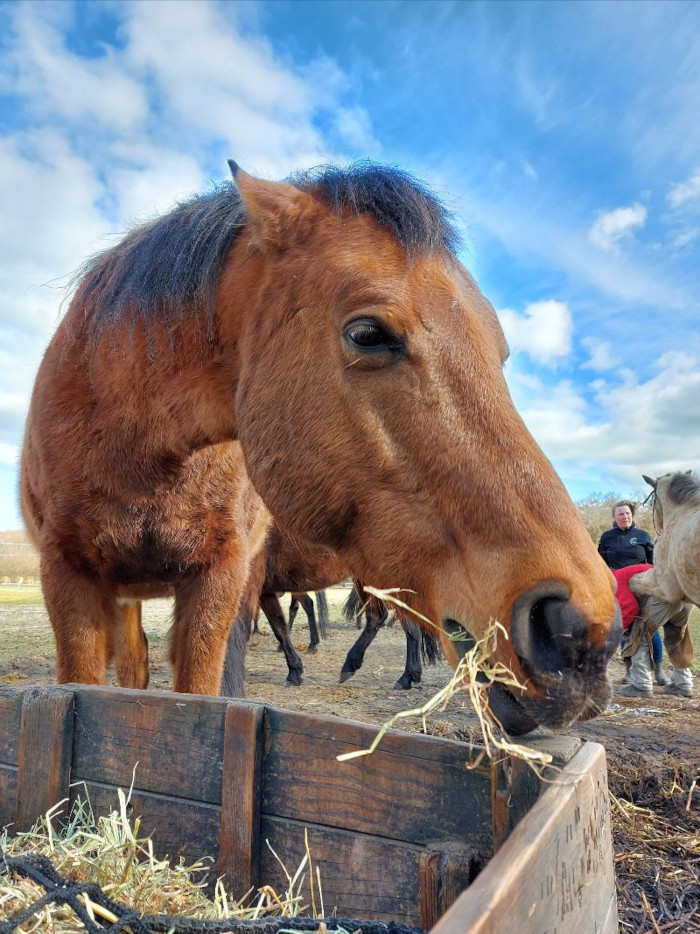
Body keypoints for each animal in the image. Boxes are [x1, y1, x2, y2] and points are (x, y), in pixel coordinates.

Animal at [17, 159, 616, 732]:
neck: (137, 448)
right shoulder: (70, 579)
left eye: (501, 349)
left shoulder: (221, 581)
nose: (576, 628)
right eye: (368, 334)